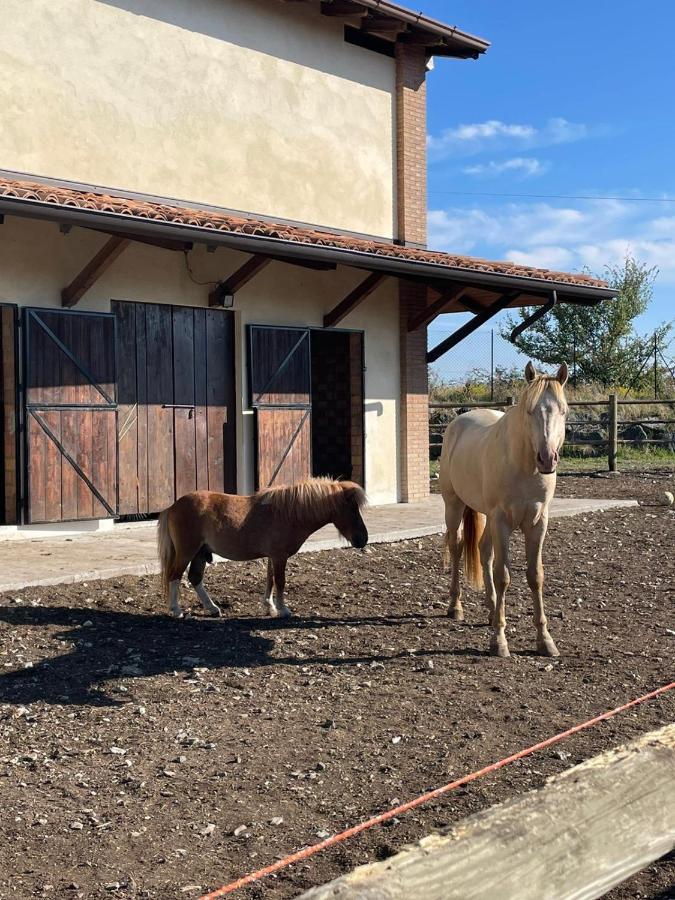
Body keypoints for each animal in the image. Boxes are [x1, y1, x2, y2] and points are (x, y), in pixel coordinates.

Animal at [157, 478, 370, 620]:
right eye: (352, 509)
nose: (363, 539)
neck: (287, 513)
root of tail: (173, 506)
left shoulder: (272, 557)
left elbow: (270, 580)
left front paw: (270, 607)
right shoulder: (279, 556)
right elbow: (280, 581)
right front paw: (283, 609)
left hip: (200, 553)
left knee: (195, 578)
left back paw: (212, 608)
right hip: (187, 552)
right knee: (175, 576)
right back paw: (176, 610)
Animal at [438, 362, 572, 656]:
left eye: (563, 410)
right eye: (530, 410)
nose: (547, 459)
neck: (524, 465)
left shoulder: (538, 522)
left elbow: (536, 576)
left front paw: (545, 640)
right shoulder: (502, 521)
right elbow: (503, 576)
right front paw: (498, 641)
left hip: (487, 517)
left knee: (483, 550)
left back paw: (490, 610)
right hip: (454, 505)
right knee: (457, 547)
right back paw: (455, 607)